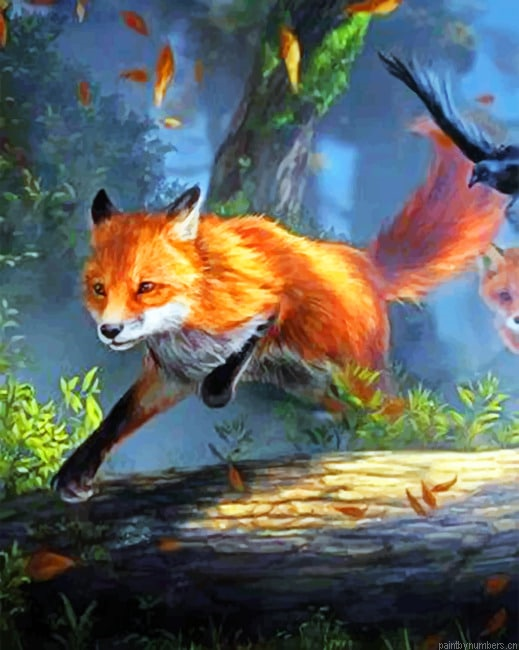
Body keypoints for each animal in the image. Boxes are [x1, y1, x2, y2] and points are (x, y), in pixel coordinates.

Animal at [51, 118, 507, 503]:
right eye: (99, 290)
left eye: (146, 287)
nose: (110, 330)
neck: (189, 318)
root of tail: (363, 263)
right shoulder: (171, 373)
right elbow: (116, 418)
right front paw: (76, 472)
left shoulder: (266, 302)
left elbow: (227, 370)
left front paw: (220, 386)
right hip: (313, 386)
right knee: (350, 414)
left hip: (361, 381)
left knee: (404, 420)